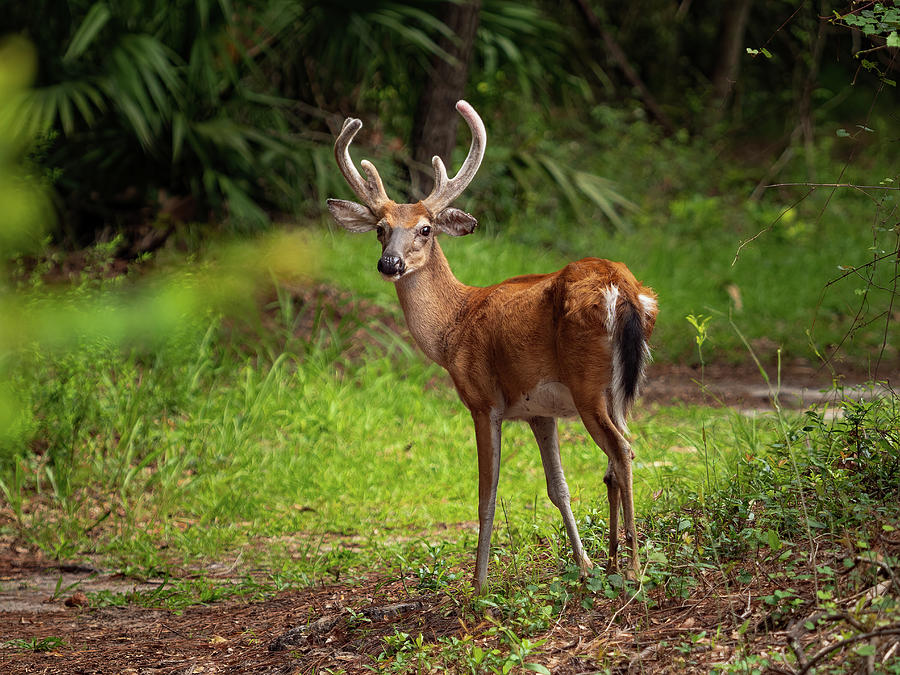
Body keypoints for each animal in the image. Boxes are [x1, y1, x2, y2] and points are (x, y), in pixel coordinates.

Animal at [326, 99, 656, 592]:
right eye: (380, 228)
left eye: (425, 229)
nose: (390, 263)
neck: (452, 328)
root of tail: (626, 289)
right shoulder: (539, 411)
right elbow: (558, 488)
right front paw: (584, 565)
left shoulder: (483, 400)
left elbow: (487, 492)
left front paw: (479, 585)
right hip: (620, 387)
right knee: (617, 459)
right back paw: (615, 560)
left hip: (587, 384)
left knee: (622, 452)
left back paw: (633, 567)